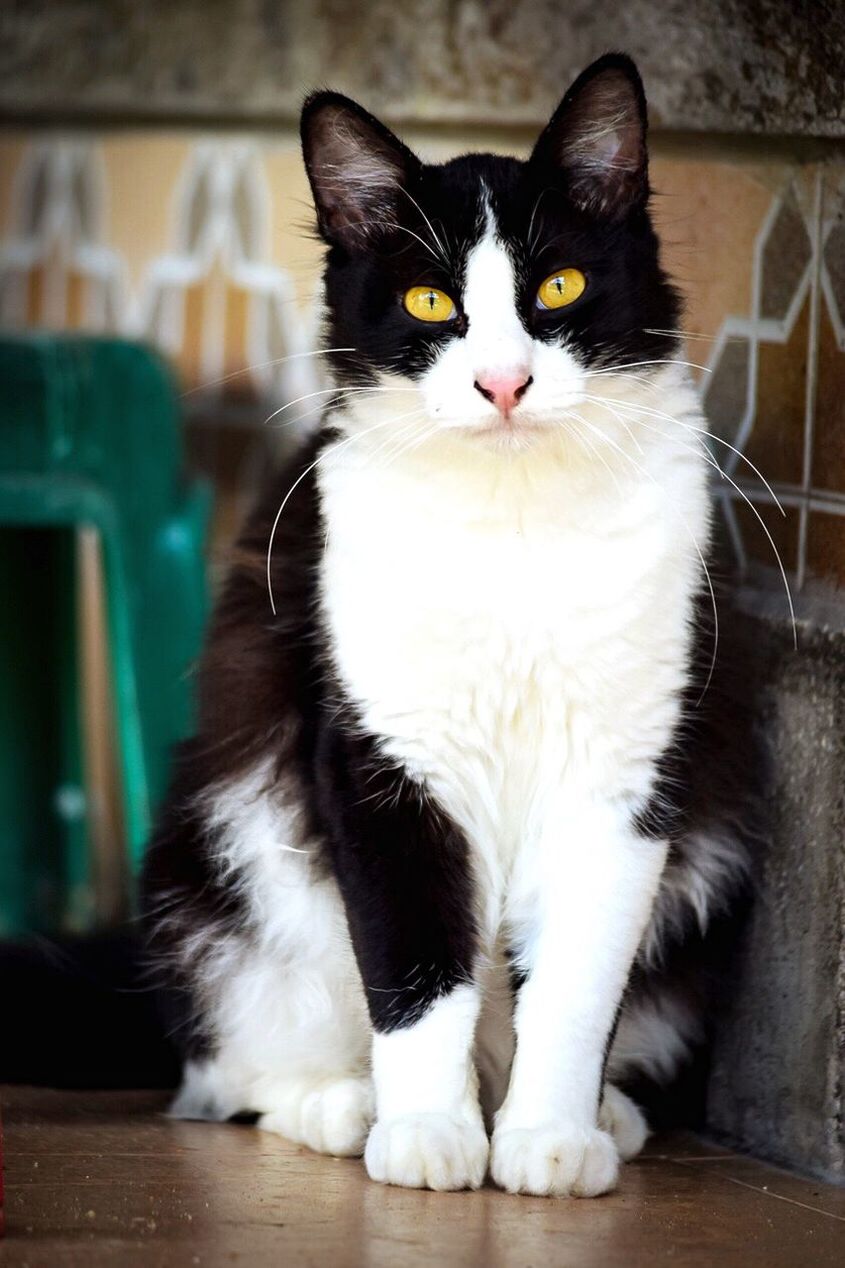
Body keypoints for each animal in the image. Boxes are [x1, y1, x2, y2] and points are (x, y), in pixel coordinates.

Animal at [141, 51, 751, 1196]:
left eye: (556, 287)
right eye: (430, 300)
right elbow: (416, 967)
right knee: (223, 1070)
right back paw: (344, 1106)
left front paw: (548, 1137)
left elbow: (574, 992)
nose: (502, 382)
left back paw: (603, 1116)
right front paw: (428, 1132)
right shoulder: (382, 762)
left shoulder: (624, 776)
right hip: (227, 867)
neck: (509, 522)